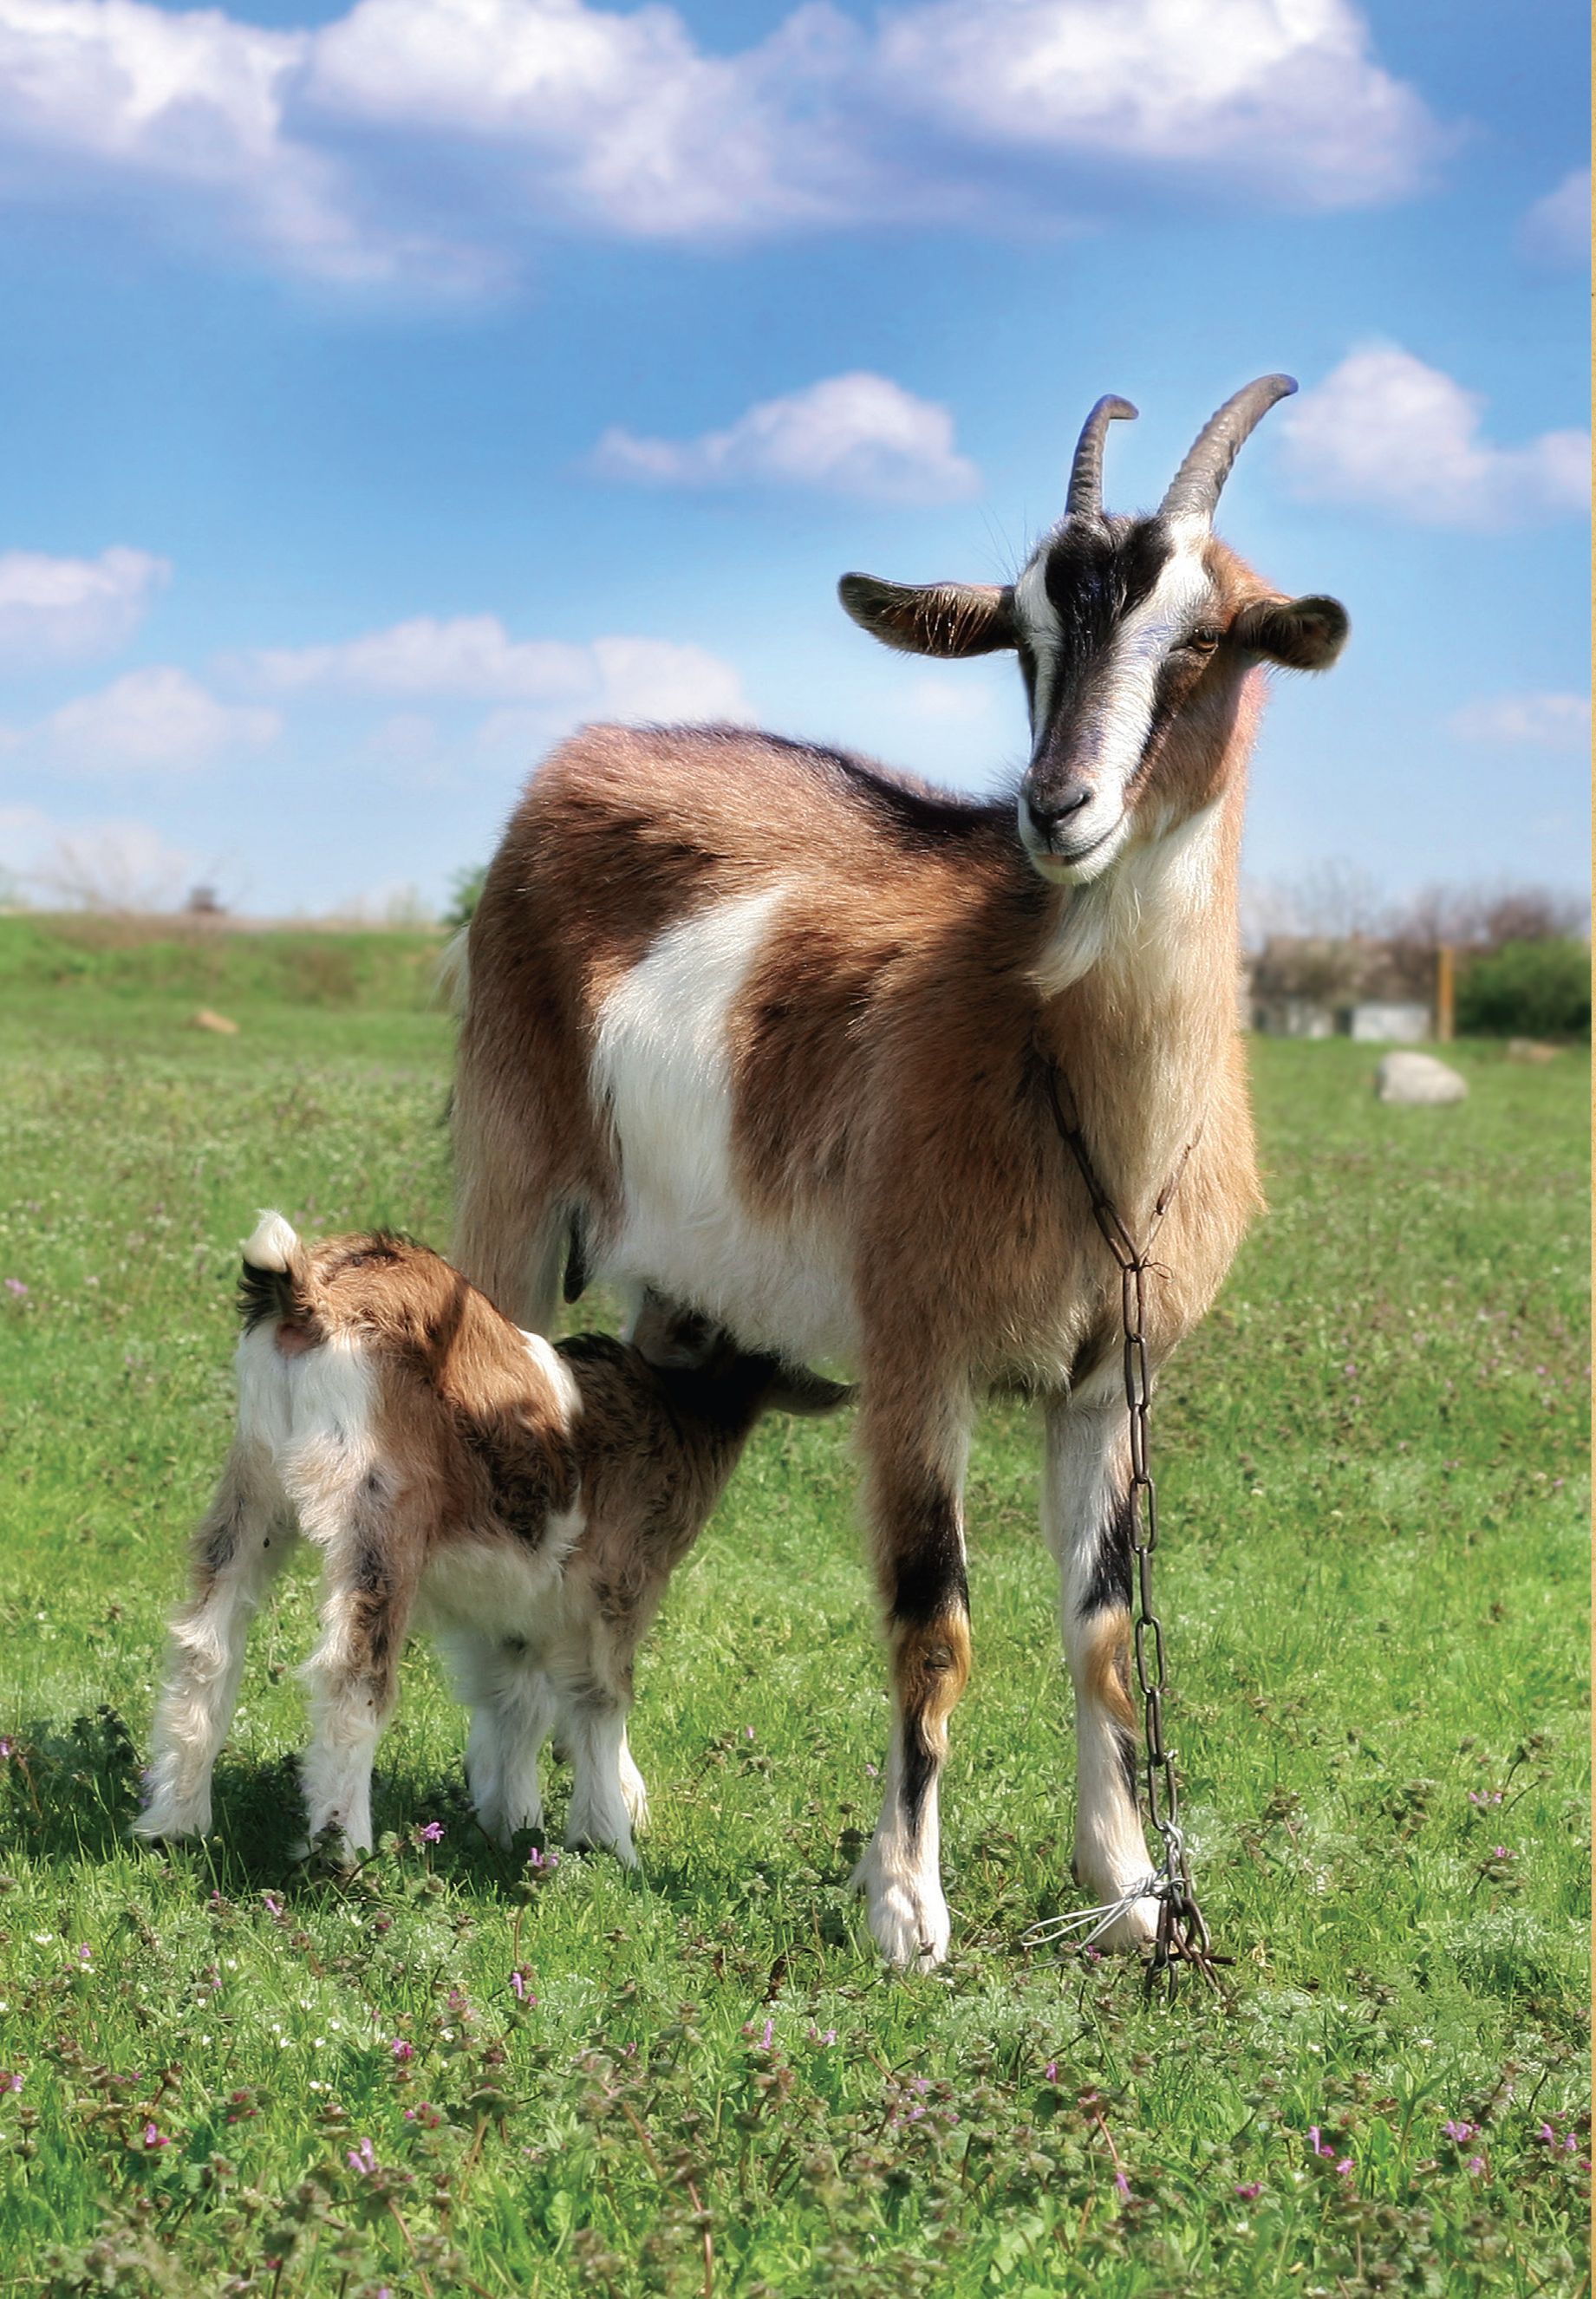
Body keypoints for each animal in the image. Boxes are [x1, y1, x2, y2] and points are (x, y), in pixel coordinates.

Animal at [137, 1214, 850, 1857]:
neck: (676, 1410)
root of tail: (312, 1295)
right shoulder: (619, 1584)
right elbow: (600, 1698)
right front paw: (608, 1843)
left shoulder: (511, 1612)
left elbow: (516, 1701)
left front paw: (512, 1825)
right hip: (380, 1512)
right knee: (354, 1672)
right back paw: (343, 1852)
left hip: (254, 1487)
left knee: (206, 1639)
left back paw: (174, 1823)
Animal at [453, 386, 1352, 1968]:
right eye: (1024, 642)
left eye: (1205, 638)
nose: (1057, 809)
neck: (1082, 1089)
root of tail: (568, 764)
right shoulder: (919, 1345)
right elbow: (933, 1619)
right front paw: (905, 1908)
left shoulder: (1104, 1373)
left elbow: (1102, 1632)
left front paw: (1128, 1888)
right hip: (511, 1189)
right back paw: (499, 1794)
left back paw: (607, 1799)